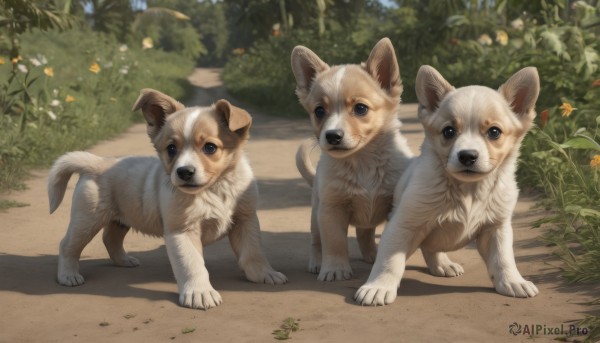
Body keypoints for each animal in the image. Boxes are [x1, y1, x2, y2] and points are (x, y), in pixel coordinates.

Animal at [48, 90, 288, 310]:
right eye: (171, 148)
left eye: (210, 147)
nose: (184, 172)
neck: (215, 189)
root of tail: (96, 162)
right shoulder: (181, 231)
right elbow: (192, 264)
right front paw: (200, 293)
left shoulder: (245, 220)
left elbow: (253, 252)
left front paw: (264, 274)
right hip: (87, 219)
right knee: (67, 245)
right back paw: (68, 275)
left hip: (120, 219)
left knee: (110, 239)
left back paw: (124, 261)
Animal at [292, 38, 458, 282]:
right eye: (319, 111)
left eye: (360, 108)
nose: (332, 136)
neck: (363, 162)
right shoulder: (332, 209)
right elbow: (335, 243)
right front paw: (335, 269)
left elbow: (429, 244)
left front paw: (441, 263)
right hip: (316, 213)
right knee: (317, 241)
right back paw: (317, 262)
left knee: (364, 233)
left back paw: (372, 254)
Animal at [354, 65, 540, 306]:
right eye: (449, 131)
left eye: (494, 132)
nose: (467, 156)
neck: (468, 191)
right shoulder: (404, 225)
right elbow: (390, 260)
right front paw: (378, 287)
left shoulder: (496, 228)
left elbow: (503, 259)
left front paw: (512, 281)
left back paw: (443, 264)